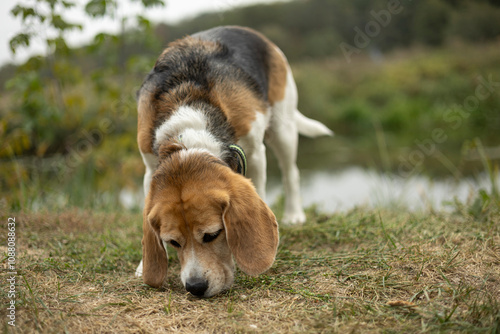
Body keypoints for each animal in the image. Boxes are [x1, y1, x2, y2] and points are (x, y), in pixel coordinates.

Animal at [135, 26, 334, 298]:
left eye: (213, 235)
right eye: (172, 241)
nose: (195, 288)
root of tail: (244, 29)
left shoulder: (256, 153)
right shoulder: (148, 168)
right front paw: (144, 264)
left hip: (283, 127)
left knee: (290, 173)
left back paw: (294, 215)